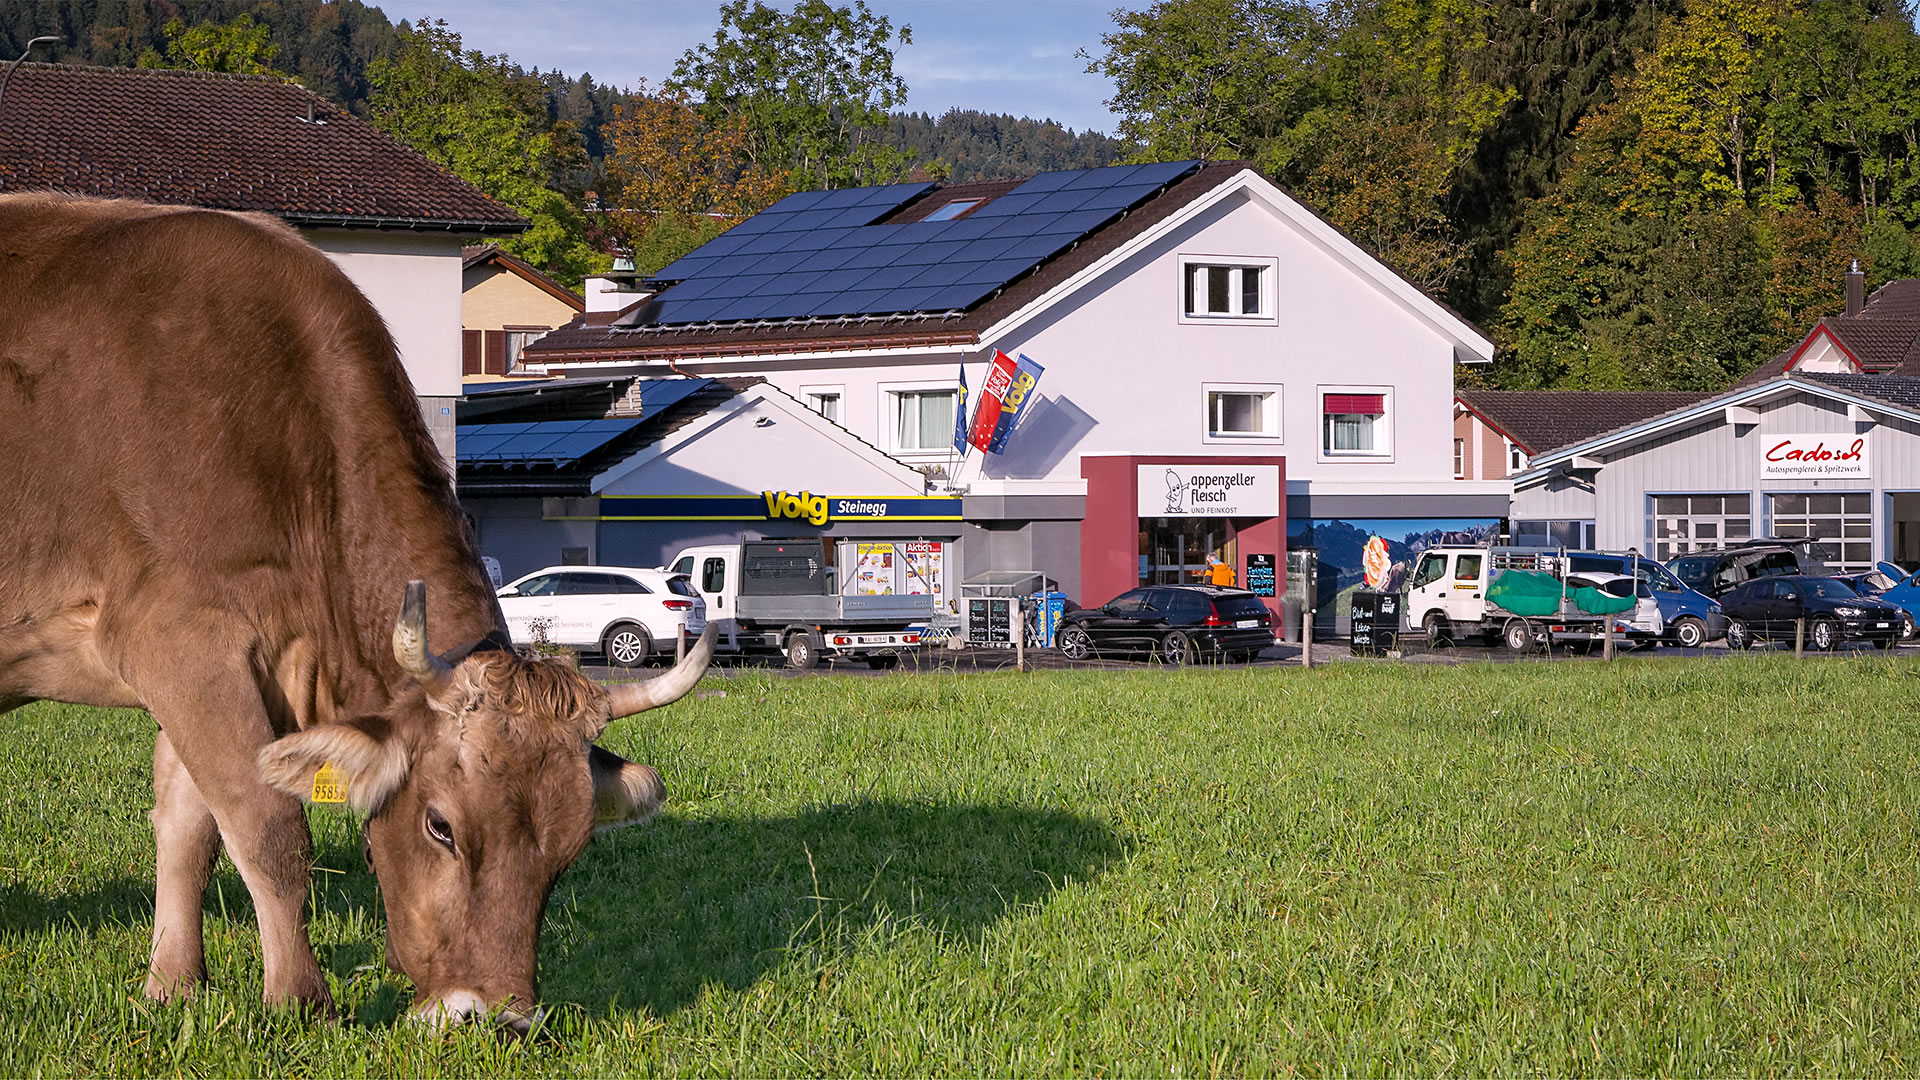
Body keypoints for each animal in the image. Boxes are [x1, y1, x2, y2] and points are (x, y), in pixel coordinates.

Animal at [0, 192, 714, 1031]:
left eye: (568, 852)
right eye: (441, 826)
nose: (493, 1017)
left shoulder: (223, 658)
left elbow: (189, 828)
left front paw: (174, 986)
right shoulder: (180, 641)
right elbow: (268, 828)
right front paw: (299, 999)